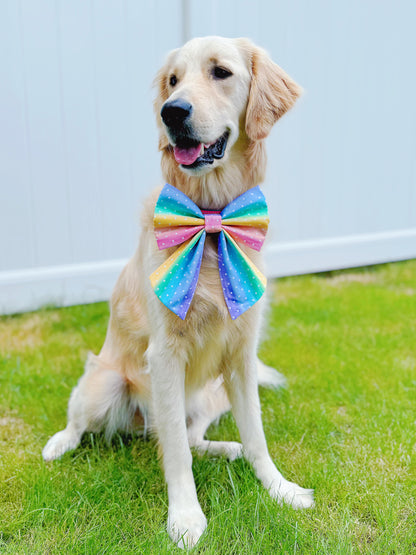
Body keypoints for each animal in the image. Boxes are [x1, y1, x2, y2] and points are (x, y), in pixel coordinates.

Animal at [44, 37, 314, 548]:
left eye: (220, 72)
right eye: (173, 81)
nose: (173, 112)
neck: (212, 220)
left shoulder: (242, 356)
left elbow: (256, 437)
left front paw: (280, 488)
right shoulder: (165, 355)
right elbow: (174, 453)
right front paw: (186, 517)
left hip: (212, 396)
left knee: (192, 437)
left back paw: (226, 448)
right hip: (105, 384)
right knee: (86, 420)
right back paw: (59, 442)